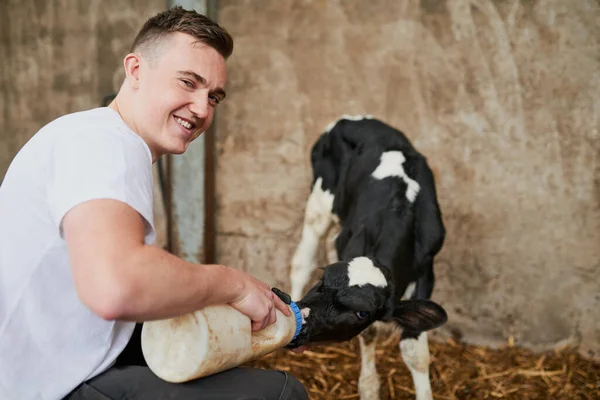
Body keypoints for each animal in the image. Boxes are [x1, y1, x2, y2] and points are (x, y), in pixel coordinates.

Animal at [288, 115, 448, 400]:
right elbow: (371, 335)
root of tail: (350, 119)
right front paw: (370, 387)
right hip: (319, 202)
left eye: (362, 312)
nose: (300, 323)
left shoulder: (427, 269)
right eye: (322, 283)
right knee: (302, 260)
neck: (398, 211)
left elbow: (415, 354)